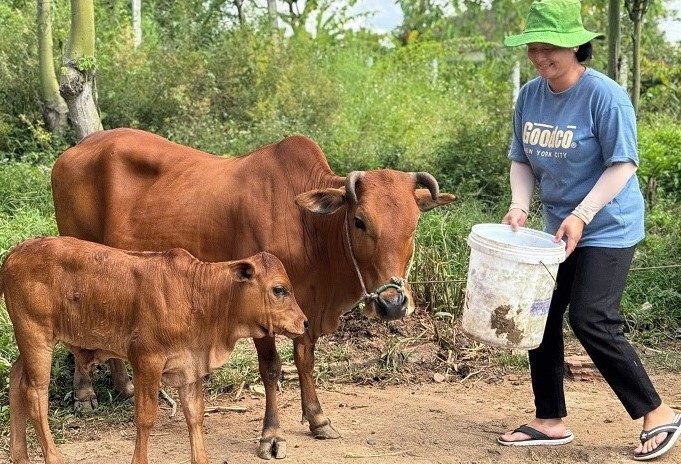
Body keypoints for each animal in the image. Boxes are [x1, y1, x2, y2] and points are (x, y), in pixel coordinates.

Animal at [2, 237, 306, 464]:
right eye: (279, 289)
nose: (304, 322)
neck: (201, 295)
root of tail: (15, 252)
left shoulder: (189, 365)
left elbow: (195, 414)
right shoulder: (146, 360)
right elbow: (146, 417)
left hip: (28, 340)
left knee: (16, 380)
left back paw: (21, 456)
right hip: (36, 336)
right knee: (34, 394)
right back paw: (52, 456)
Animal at [51, 128, 456, 460]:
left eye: (414, 224)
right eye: (359, 221)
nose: (392, 304)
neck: (308, 228)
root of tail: (75, 150)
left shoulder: (304, 307)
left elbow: (305, 361)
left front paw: (318, 419)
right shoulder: (258, 307)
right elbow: (272, 368)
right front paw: (272, 436)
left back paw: (123, 385)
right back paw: (85, 394)